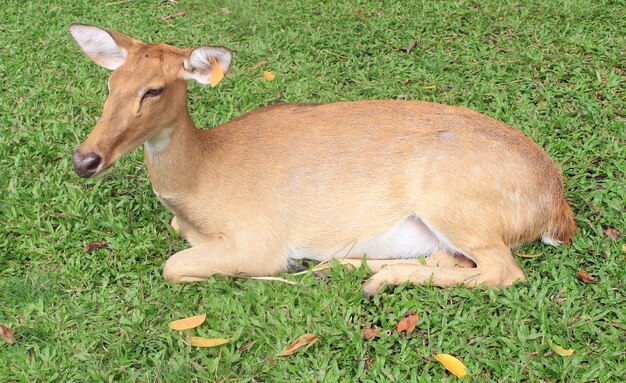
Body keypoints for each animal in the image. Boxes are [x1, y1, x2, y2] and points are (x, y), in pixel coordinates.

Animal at [69, 24, 576, 296]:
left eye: (153, 90)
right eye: (110, 84)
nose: (84, 160)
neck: (200, 185)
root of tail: (556, 208)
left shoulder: (260, 239)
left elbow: (173, 266)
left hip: (455, 198)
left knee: (503, 271)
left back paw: (363, 277)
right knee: (451, 260)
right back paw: (349, 267)